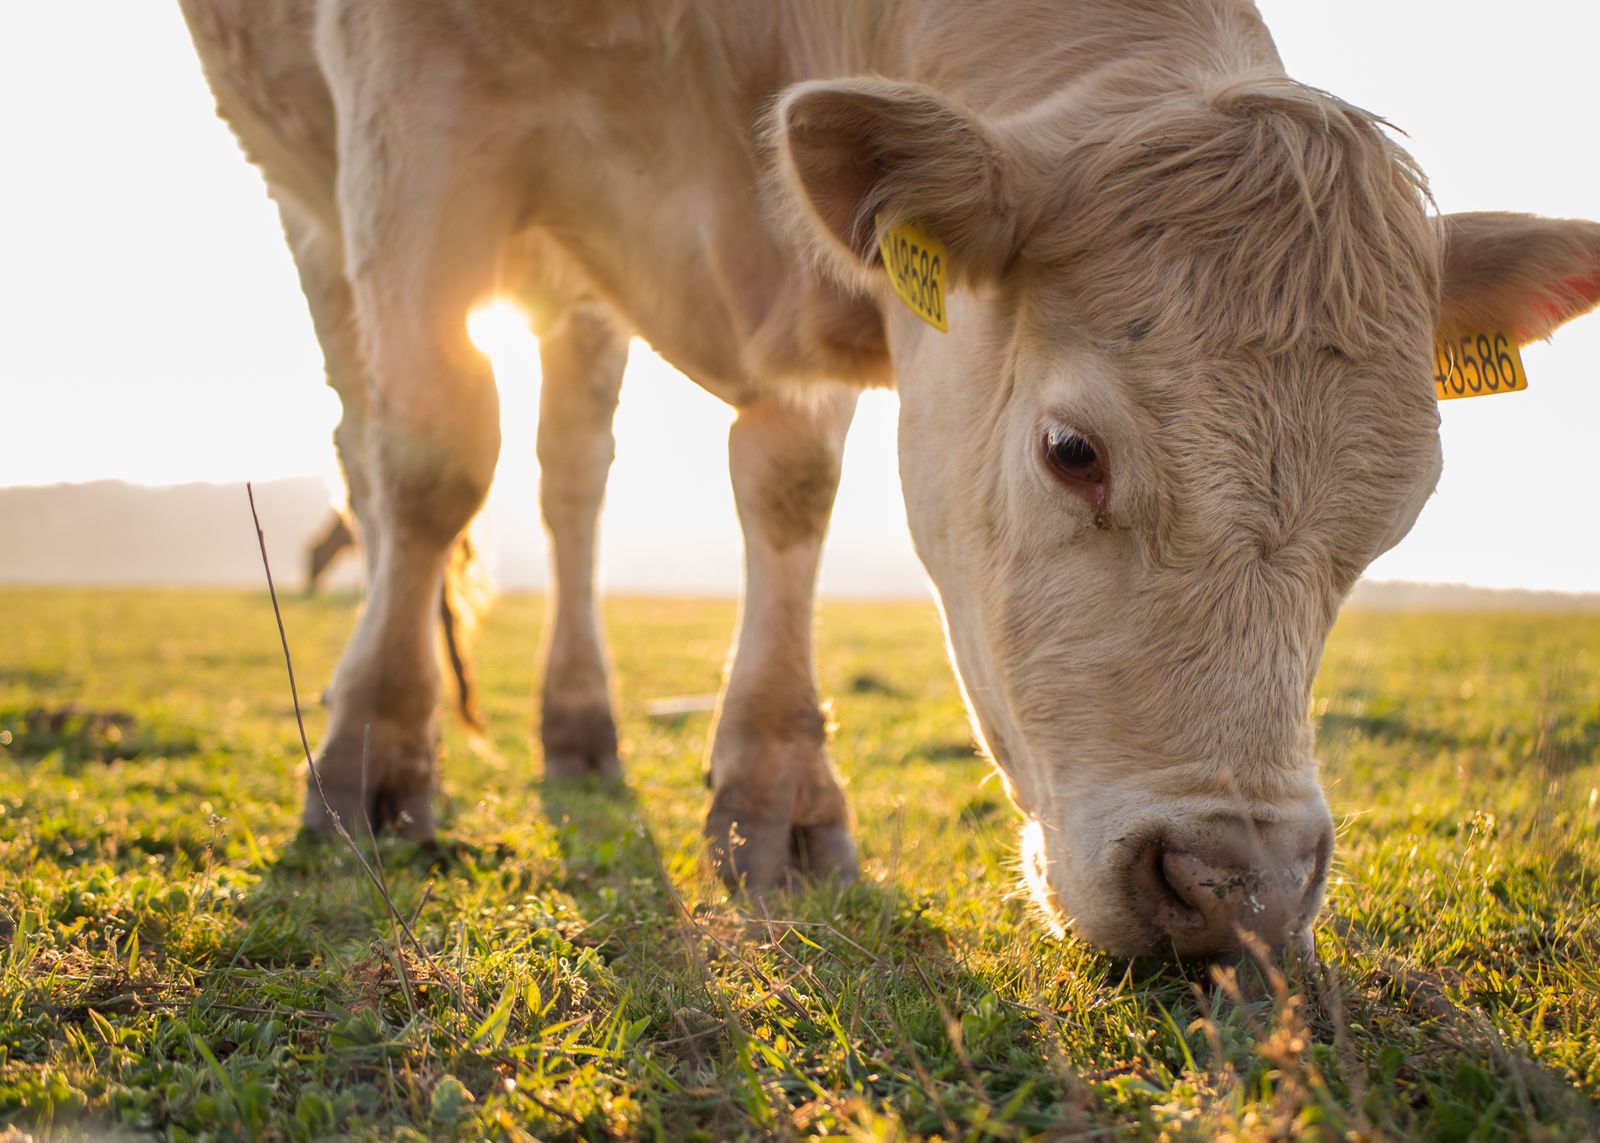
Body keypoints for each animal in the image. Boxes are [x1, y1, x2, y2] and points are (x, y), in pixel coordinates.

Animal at [178, 0, 1600, 957]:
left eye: (1397, 514)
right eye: (1071, 451)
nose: (1233, 889)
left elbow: (788, 487)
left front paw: (774, 795)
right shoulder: (408, 106)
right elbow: (432, 458)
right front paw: (370, 762)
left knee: (573, 469)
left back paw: (580, 725)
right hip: (312, 191)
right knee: (378, 443)